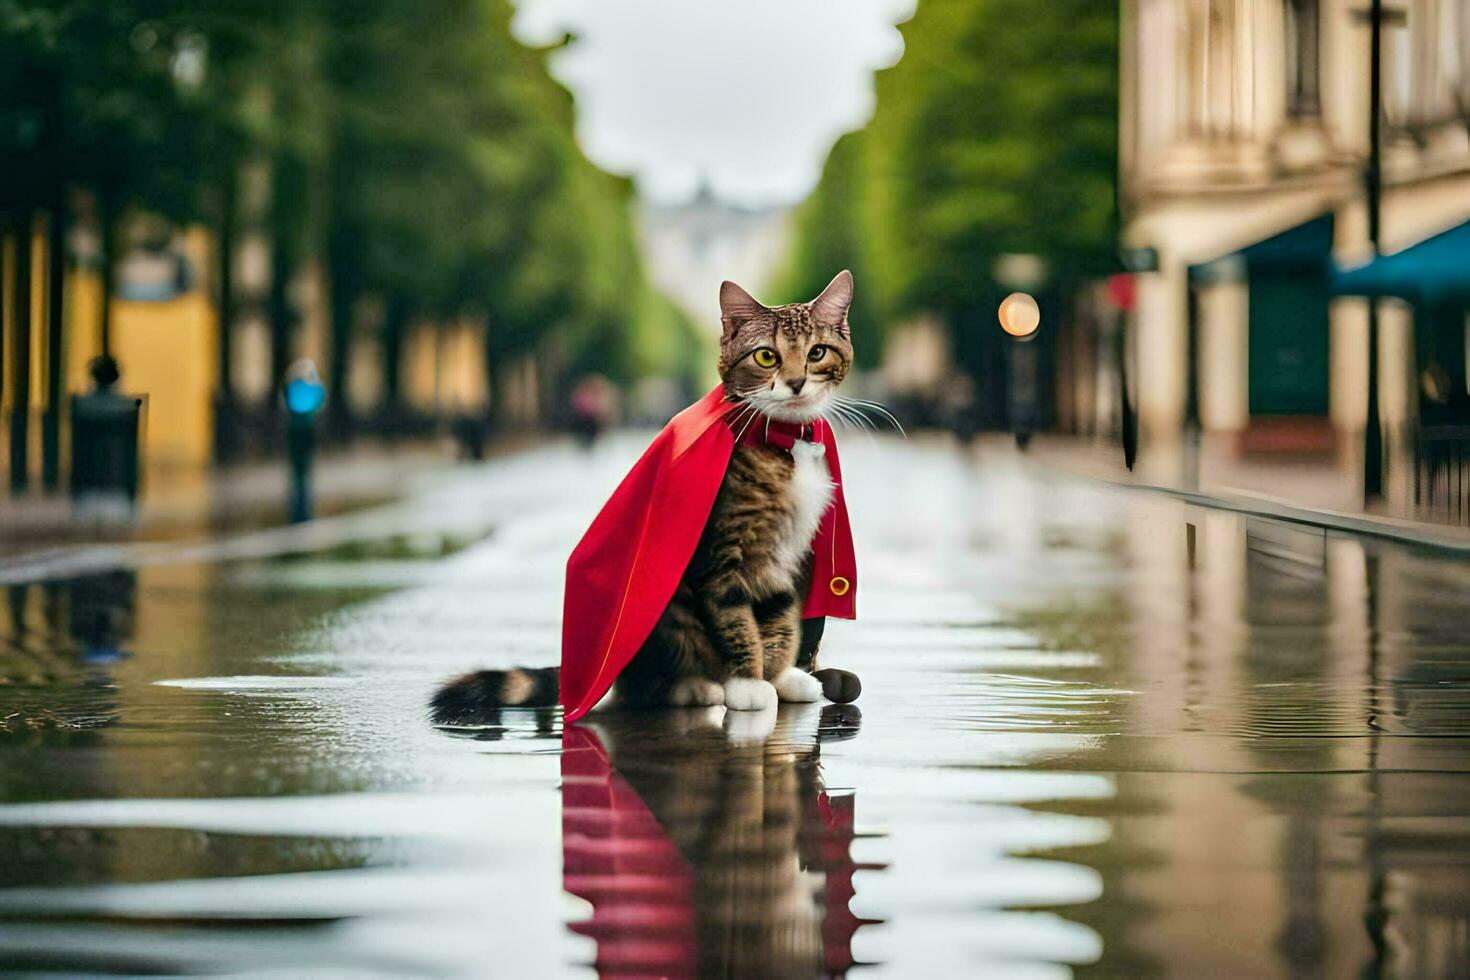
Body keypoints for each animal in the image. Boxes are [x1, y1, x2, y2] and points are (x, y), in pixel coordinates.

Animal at [429, 271, 858, 725]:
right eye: (765, 357)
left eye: (816, 353)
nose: (795, 383)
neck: (782, 439)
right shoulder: (722, 556)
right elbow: (734, 618)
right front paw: (748, 683)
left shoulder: (785, 555)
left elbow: (779, 616)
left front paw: (777, 677)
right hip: (668, 611)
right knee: (644, 687)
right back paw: (697, 687)